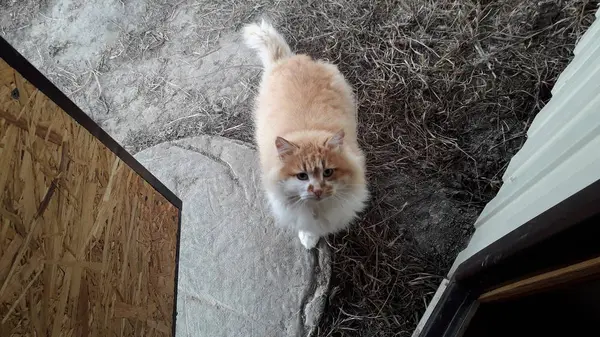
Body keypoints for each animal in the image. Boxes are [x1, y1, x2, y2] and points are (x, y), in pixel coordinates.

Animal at [241, 20, 368, 247]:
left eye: (328, 172)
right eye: (302, 176)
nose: (317, 190)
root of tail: (288, 59)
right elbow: (308, 226)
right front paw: (309, 239)